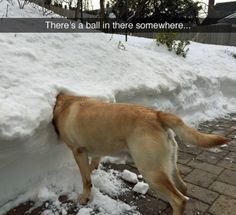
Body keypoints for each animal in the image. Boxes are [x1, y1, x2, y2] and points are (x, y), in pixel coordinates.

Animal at [53, 94, 229, 215]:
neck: (64, 104)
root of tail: (157, 114)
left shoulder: (78, 151)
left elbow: (86, 179)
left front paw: (85, 196)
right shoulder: (97, 152)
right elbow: (92, 167)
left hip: (150, 171)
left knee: (179, 200)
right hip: (168, 164)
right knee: (182, 188)